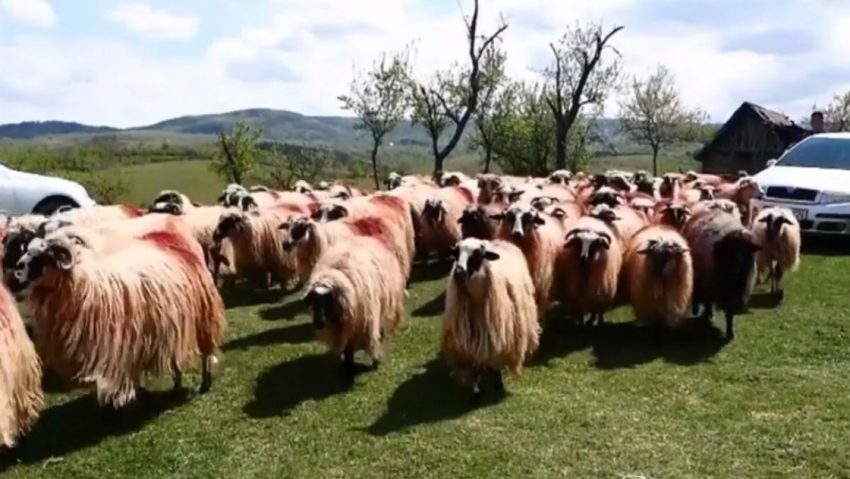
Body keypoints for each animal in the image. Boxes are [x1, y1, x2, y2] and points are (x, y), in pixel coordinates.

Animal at [302, 236, 404, 378]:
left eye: (327, 301)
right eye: (313, 302)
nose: (318, 322)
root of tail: (364, 238)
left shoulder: (360, 320)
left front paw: (375, 360)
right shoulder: (346, 324)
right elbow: (347, 348)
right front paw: (348, 367)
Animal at [440, 239, 540, 398]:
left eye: (478, 254)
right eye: (456, 253)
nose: (458, 273)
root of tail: (500, 241)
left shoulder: (496, 338)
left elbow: (494, 362)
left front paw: (498, 383)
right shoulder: (469, 339)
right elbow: (474, 366)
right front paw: (475, 390)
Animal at [684, 210, 756, 342]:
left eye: (746, 250)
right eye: (730, 250)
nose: (738, 266)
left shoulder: (732, 296)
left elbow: (730, 314)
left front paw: (730, 333)